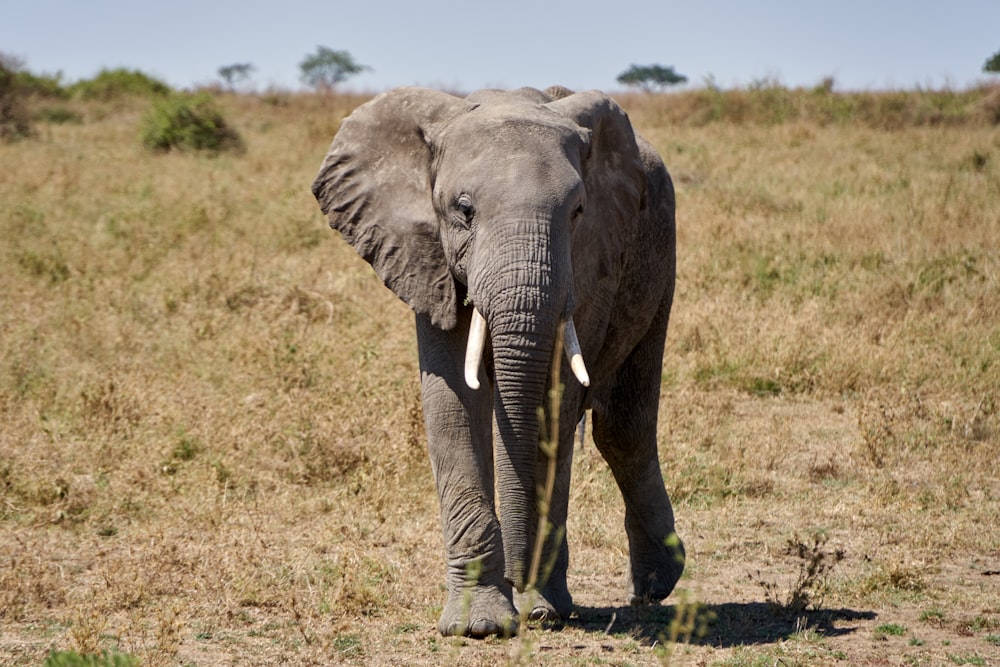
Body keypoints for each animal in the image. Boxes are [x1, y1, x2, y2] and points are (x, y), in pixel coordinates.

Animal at [314, 86, 688, 640]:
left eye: (578, 211)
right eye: (464, 210)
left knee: (624, 428)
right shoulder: (427, 258)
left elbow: (554, 404)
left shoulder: (589, 262)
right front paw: (480, 626)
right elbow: (452, 405)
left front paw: (540, 610)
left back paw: (654, 586)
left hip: (660, 255)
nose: (518, 578)